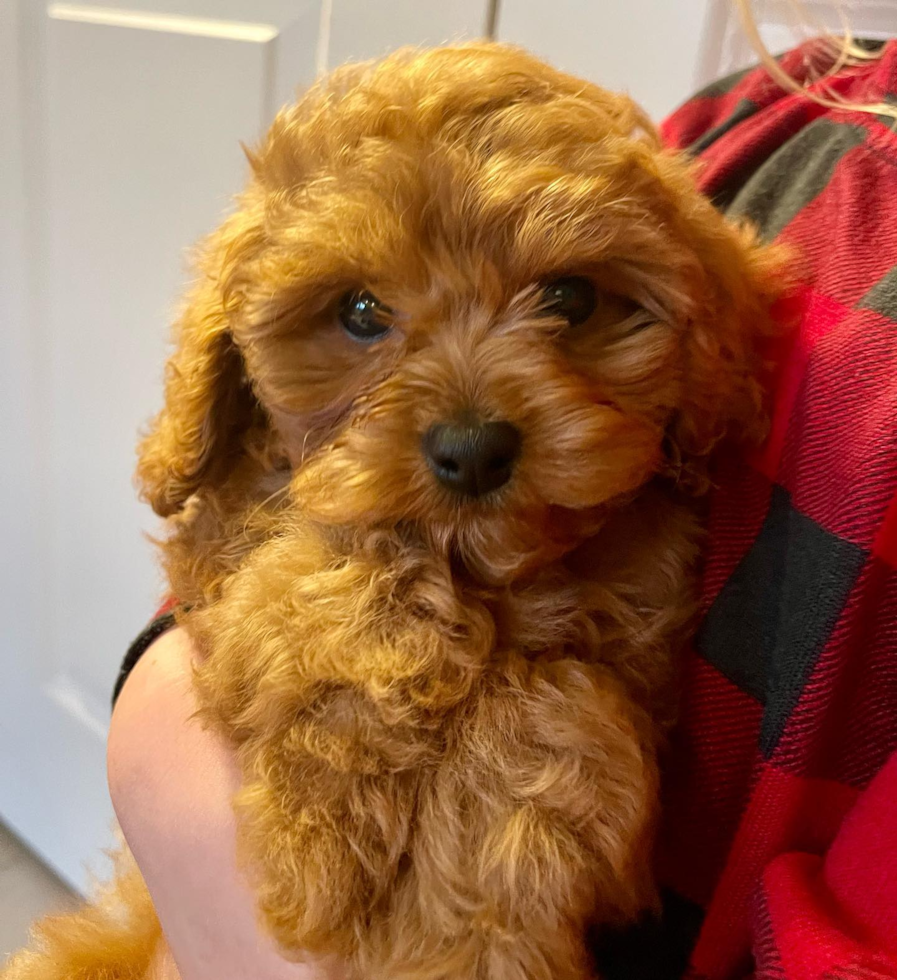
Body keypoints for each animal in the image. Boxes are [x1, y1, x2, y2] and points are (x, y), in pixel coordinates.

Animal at [3, 42, 780, 980]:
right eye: (360, 312)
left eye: (571, 298)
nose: (472, 447)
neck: (479, 569)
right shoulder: (224, 552)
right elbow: (318, 582)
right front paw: (326, 833)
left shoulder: (637, 630)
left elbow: (545, 711)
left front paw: (471, 934)